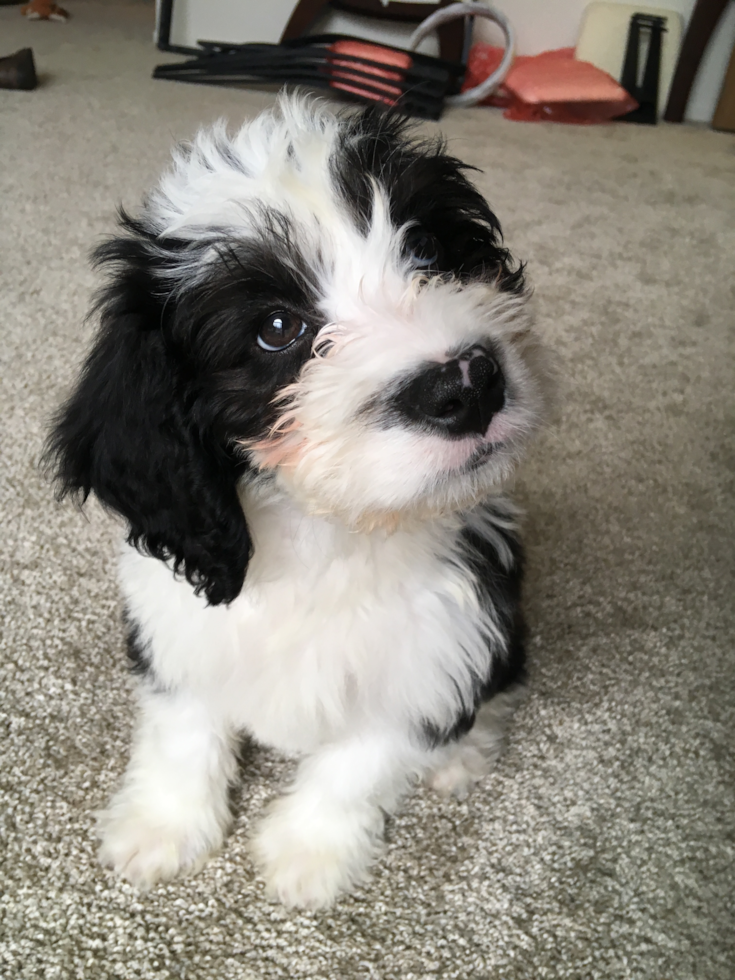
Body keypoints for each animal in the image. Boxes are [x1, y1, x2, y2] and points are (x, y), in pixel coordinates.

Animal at [46, 95, 552, 908]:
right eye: (277, 329)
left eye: (427, 249)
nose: (468, 384)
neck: (332, 534)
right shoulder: (179, 626)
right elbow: (183, 732)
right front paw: (162, 827)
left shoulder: (433, 652)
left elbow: (360, 764)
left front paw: (308, 855)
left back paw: (460, 755)